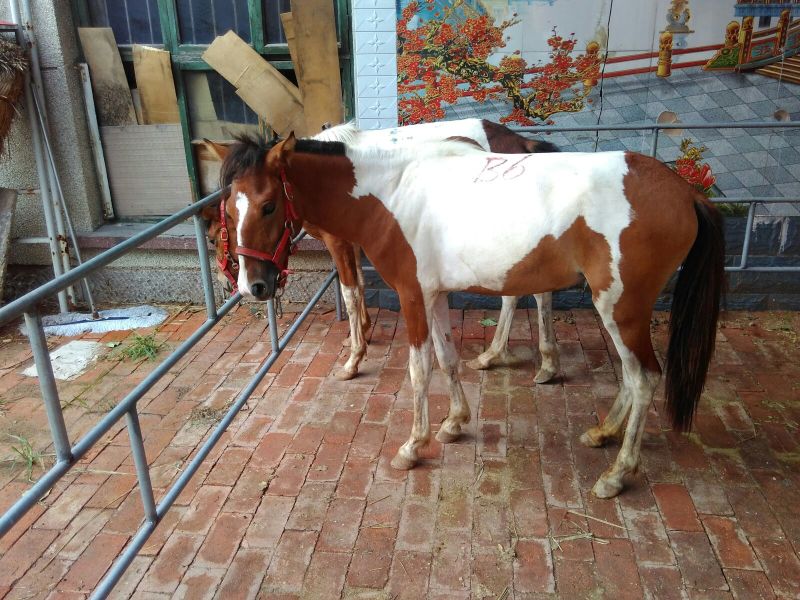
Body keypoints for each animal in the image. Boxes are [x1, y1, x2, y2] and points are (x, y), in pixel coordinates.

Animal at [201, 119, 562, 383]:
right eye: (229, 213)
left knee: (530, 293)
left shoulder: (338, 241)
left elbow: (349, 291)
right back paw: (504, 356)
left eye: (268, 206)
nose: (250, 287)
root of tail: (521, 143)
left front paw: (353, 359)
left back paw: (535, 362)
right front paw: (361, 332)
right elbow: (360, 285)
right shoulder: (356, 239)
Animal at [221, 131, 726, 499]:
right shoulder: (435, 294)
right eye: (229, 208)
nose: (253, 287)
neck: (393, 192)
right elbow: (447, 359)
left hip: (620, 308)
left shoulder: (412, 295)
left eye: (268, 205)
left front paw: (413, 446)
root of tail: (685, 193)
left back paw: (618, 474)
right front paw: (453, 423)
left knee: (643, 378)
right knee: (630, 375)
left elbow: (419, 369)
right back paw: (602, 432)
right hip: (620, 311)